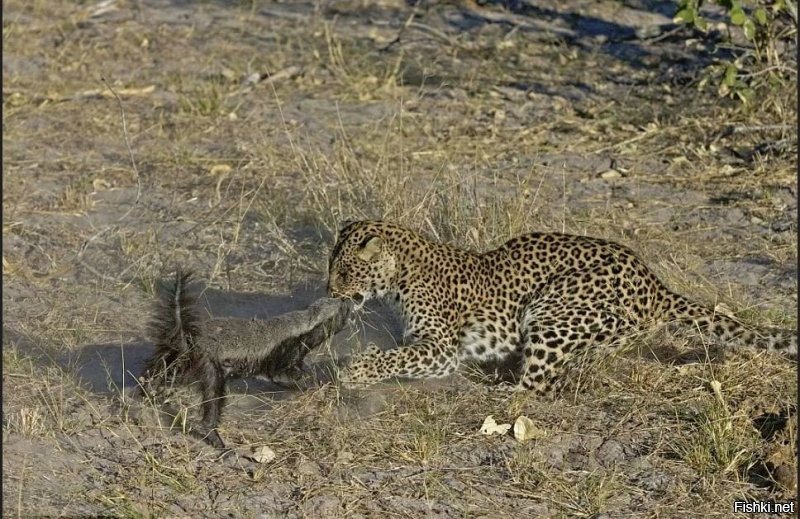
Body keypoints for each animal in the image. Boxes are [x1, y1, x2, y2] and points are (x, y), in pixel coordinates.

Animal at [328, 219, 796, 394]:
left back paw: (495, 388)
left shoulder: (441, 347)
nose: (329, 292)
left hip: (552, 311)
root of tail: (654, 282)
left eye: (346, 271)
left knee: (535, 388)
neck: (400, 275)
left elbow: (397, 357)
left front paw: (356, 372)